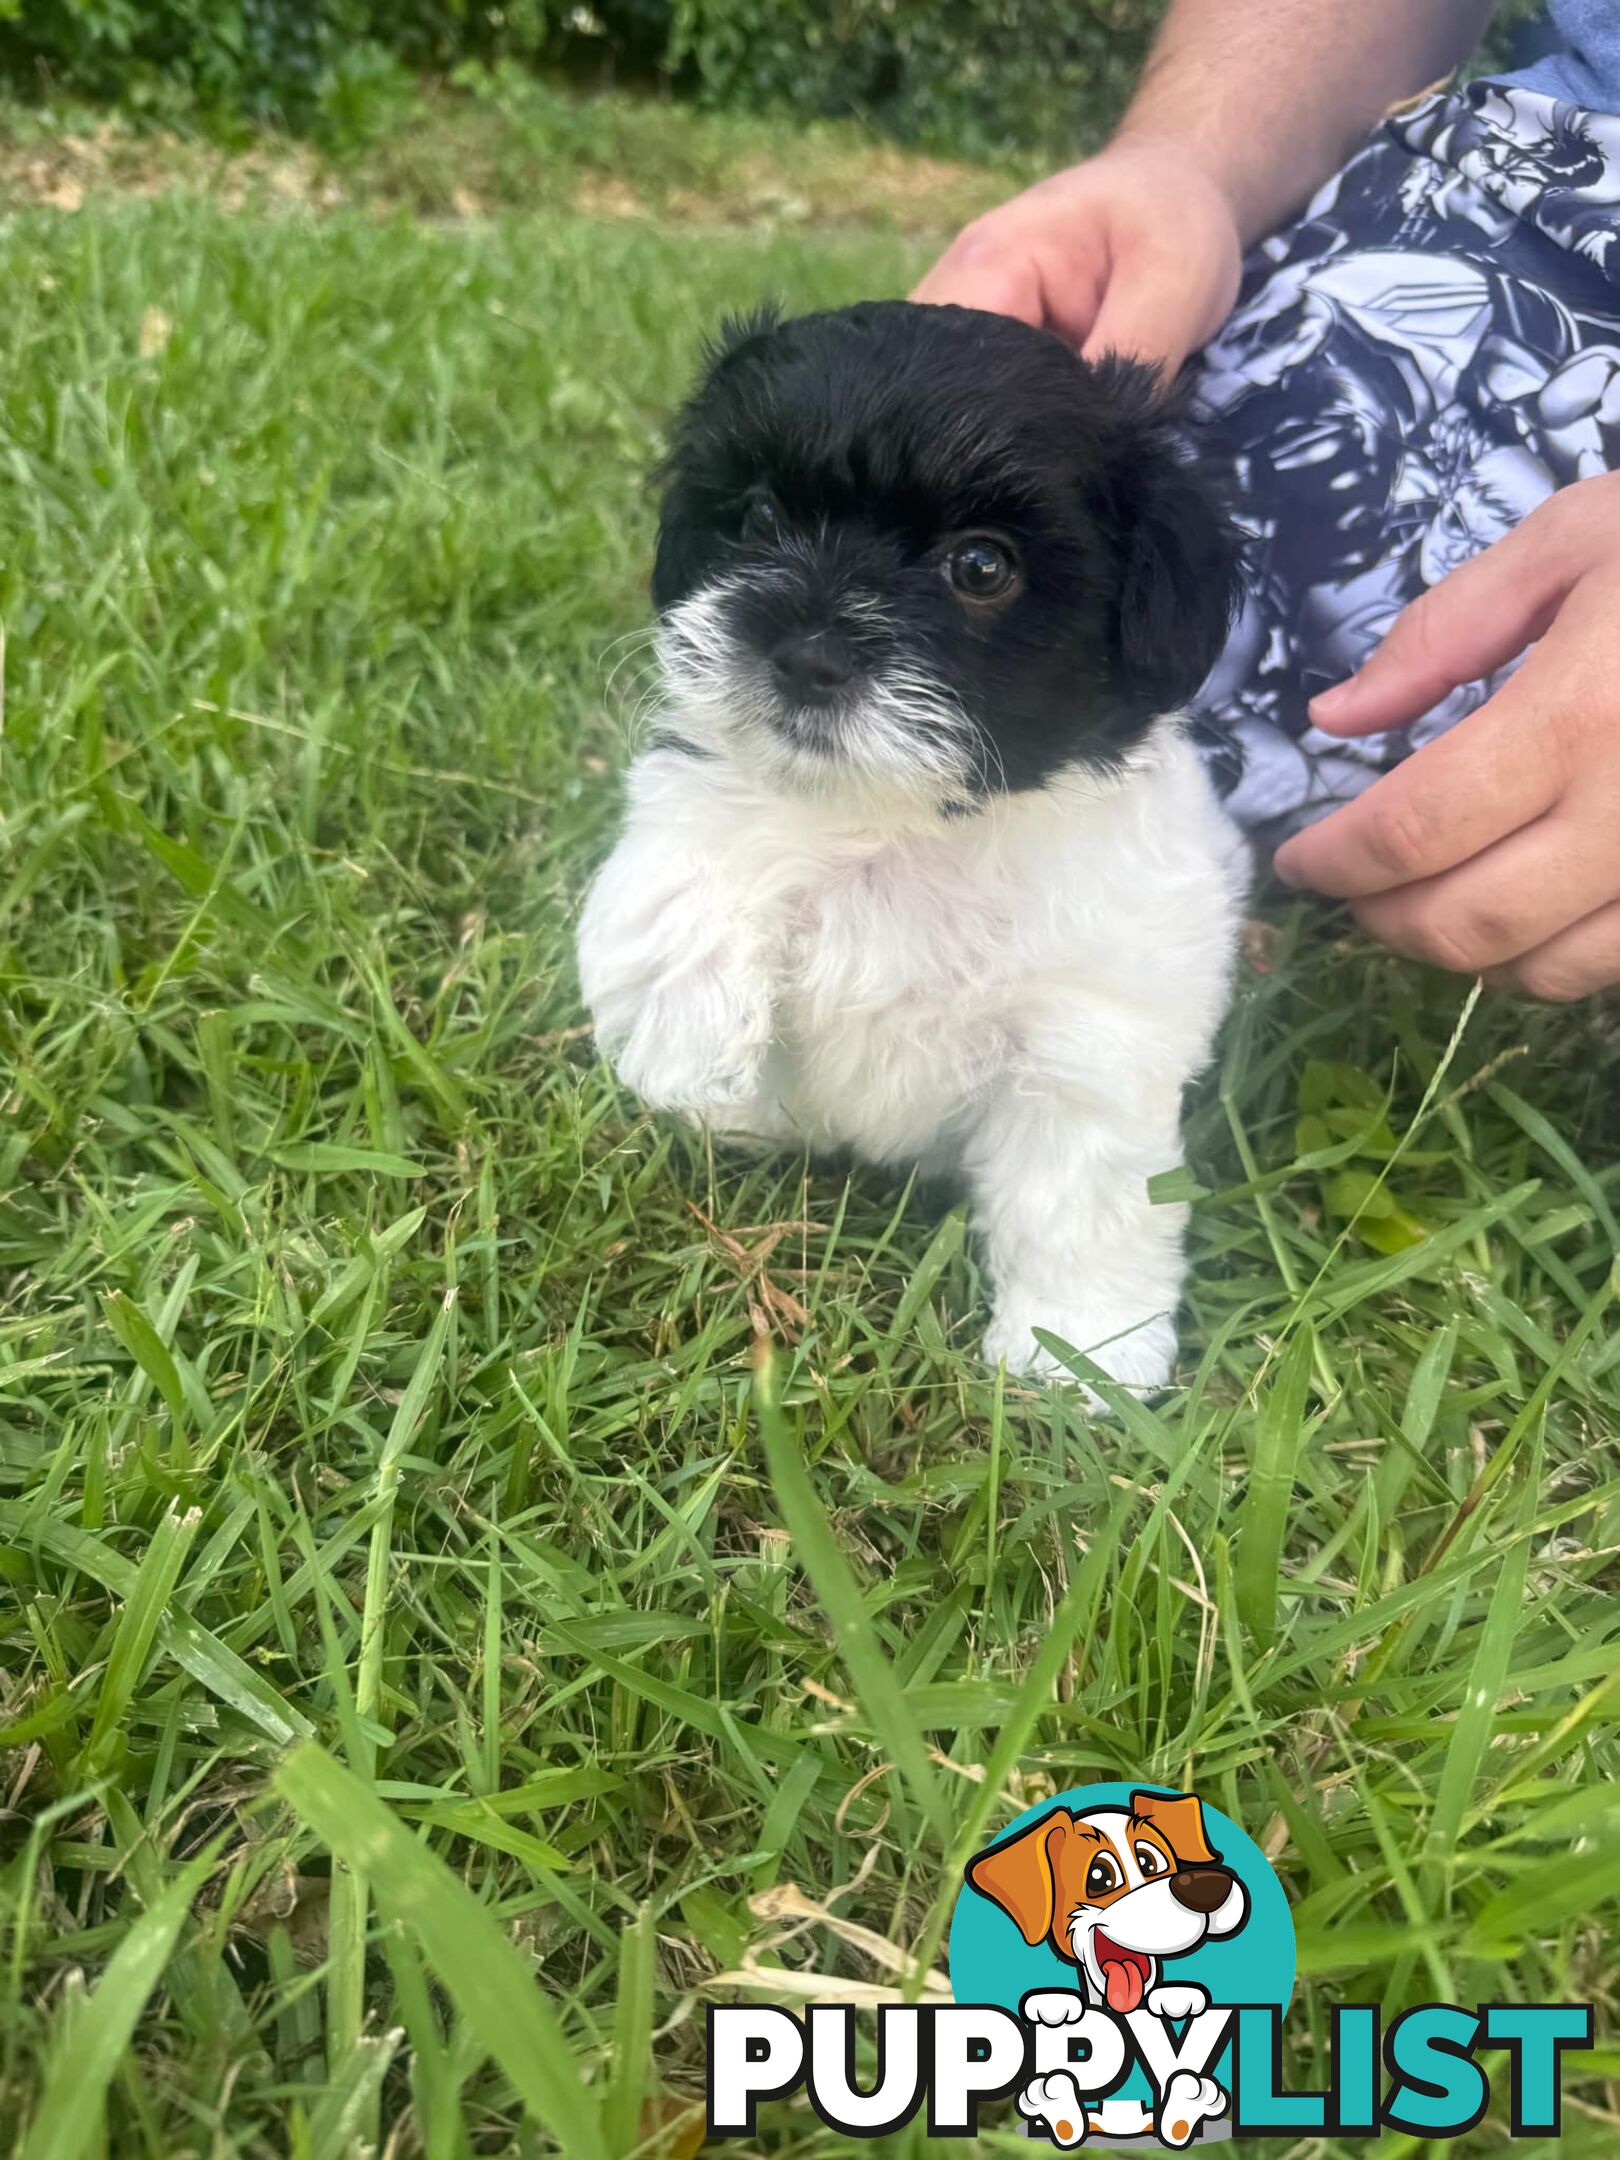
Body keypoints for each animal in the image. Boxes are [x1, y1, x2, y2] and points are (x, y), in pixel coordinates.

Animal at [578, 300, 1252, 1382]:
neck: (905, 824)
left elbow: (1081, 1203)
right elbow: (683, 868)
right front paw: (686, 1044)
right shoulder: (702, 785)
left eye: (980, 567)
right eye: (758, 518)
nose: (807, 653)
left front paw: (1080, 1356)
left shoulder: (1085, 1038)